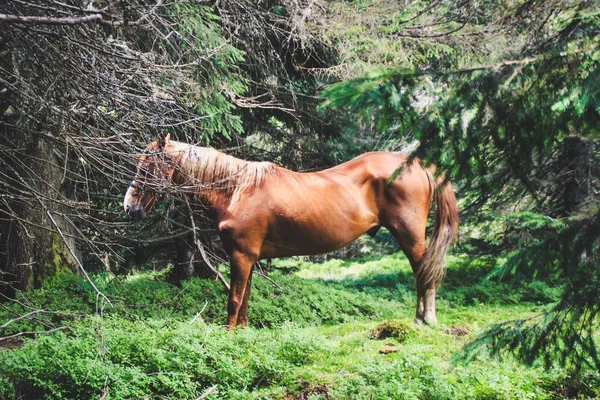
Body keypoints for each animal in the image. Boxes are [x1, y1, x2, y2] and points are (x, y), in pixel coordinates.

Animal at [123, 135, 460, 328]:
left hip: (410, 236)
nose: (129, 207)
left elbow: (234, 298)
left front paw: (228, 333)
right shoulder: (249, 257)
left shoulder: (240, 255)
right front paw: (241, 332)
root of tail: (419, 165)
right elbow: (245, 298)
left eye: (145, 167)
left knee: (424, 273)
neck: (237, 189)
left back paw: (426, 319)